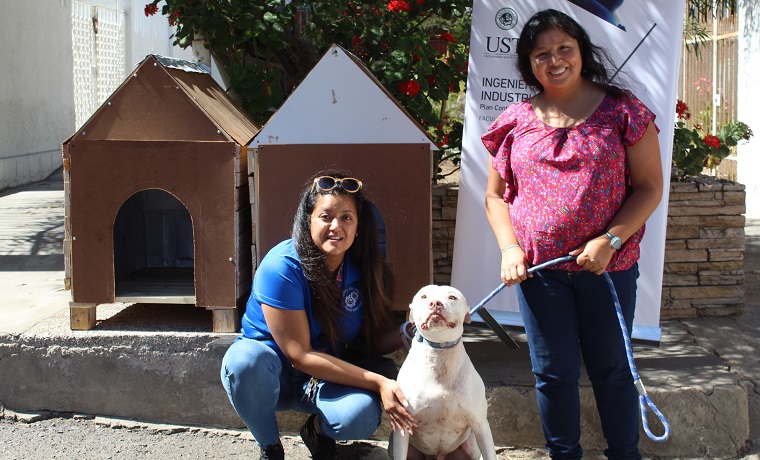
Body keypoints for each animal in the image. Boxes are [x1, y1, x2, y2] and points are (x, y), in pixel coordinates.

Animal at [388, 286, 496, 458]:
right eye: (424, 296)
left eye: (452, 297)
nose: (435, 303)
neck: (439, 353)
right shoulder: (403, 426)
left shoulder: (480, 424)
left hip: (472, 445)